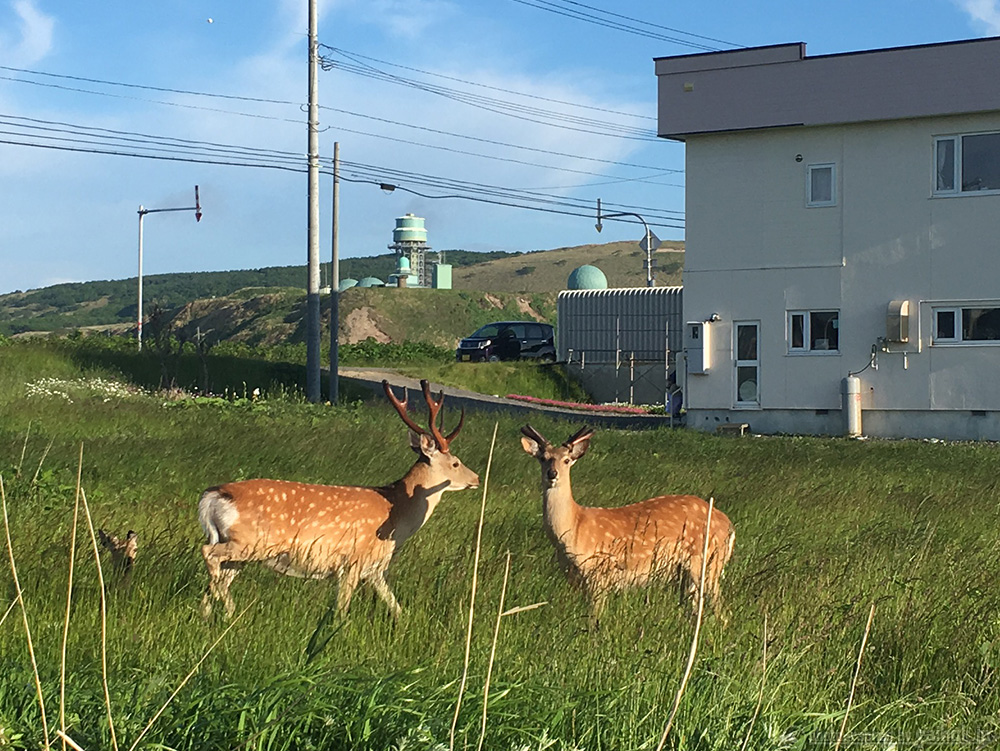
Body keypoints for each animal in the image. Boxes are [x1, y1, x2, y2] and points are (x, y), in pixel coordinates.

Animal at [199, 378, 480, 620]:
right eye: (455, 463)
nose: (476, 478)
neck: (398, 514)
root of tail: (211, 497)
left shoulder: (375, 569)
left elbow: (397, 607)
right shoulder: (353, 561)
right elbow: (341, 610)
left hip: (240, 552)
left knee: (215, 579)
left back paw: (210, 615)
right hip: (250, 542)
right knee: (208, 553)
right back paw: (231, 610)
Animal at [524, 426, 736, 620]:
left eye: (567, 460)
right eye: (543, 458)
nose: (552, 473)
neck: (574, 528)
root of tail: (729, 526)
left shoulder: (600, 573)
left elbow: (595, 618)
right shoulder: (575, 579)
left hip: (708, 562)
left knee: (722, 609)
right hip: (687, 573)